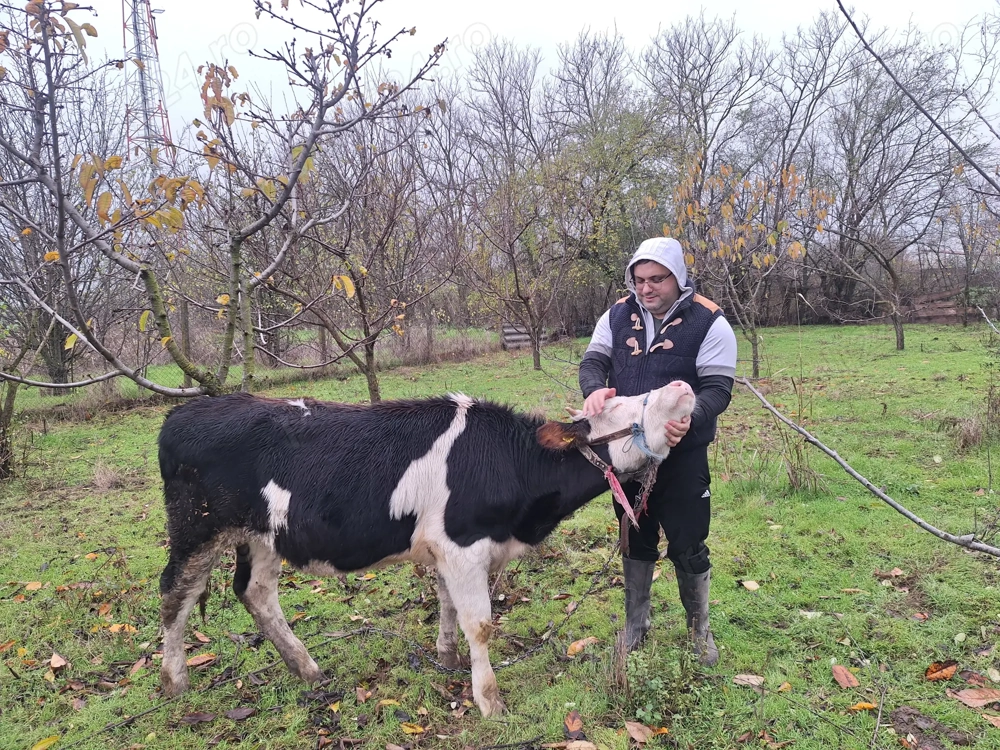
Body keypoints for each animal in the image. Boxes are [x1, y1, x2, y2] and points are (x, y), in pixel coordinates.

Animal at [157, 381, 695, 717]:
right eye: (623, 406)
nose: (682, 386)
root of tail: (184, 413)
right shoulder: (463, 545)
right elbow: (480, 623)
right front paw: (489, 700)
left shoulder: (450, 552)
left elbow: (448, 606)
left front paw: (447, 658)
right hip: (197, 529)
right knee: (174, 595)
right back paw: (174, 681)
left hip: (263, 534)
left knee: (255, 592)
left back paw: (307, 669)